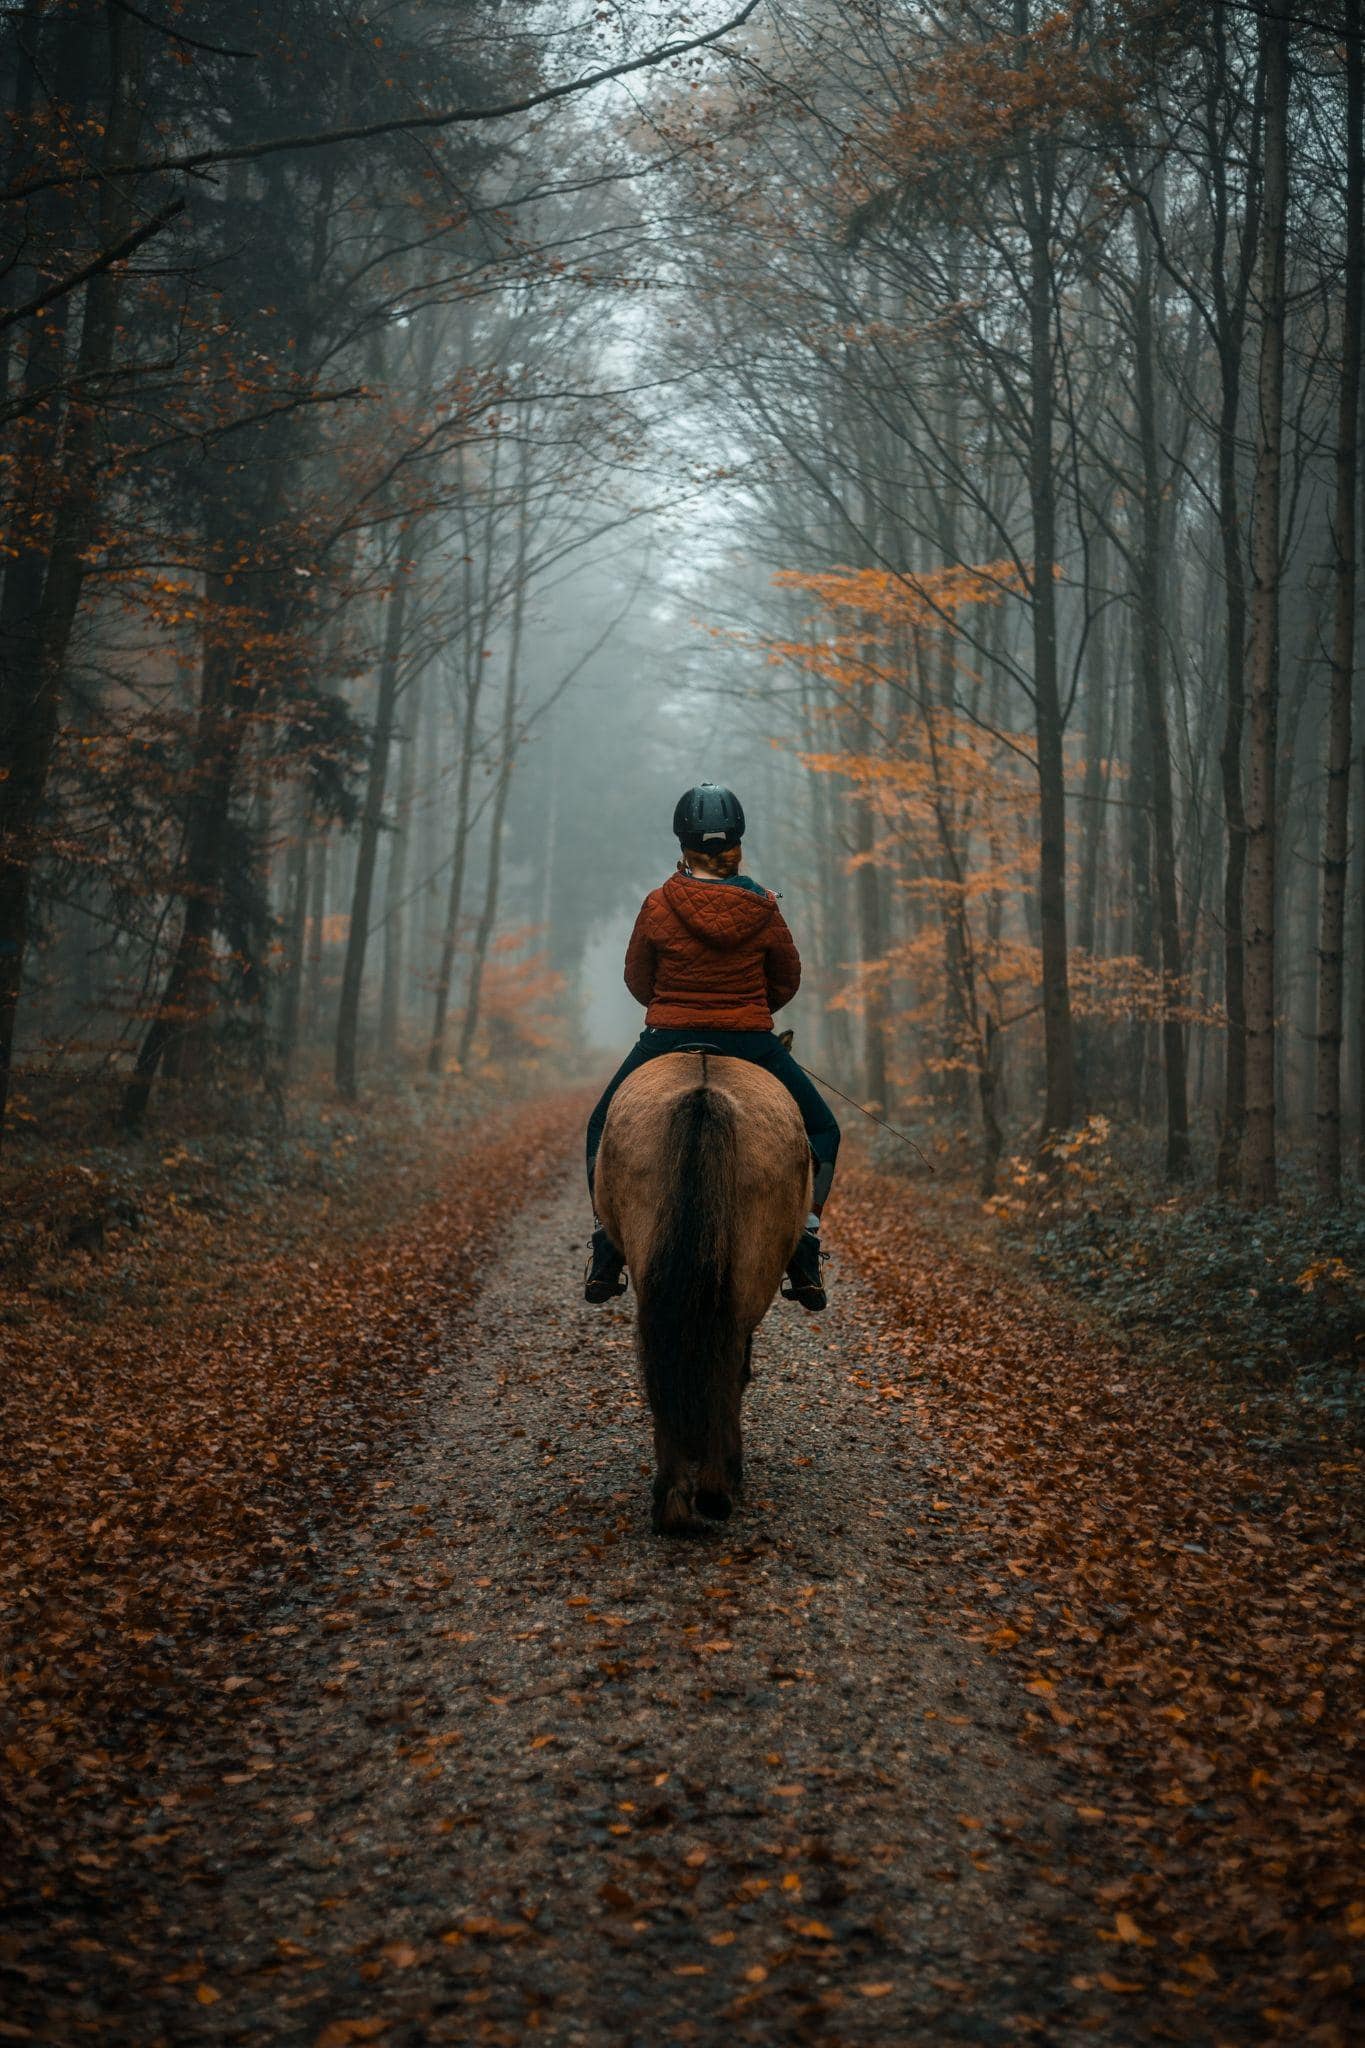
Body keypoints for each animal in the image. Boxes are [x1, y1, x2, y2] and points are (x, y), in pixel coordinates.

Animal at [593, 1056, 810, 1540]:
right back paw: (716, 1489)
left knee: (664, 1360)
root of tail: (704, 1096)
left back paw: (673, 1504)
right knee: (727, 1366)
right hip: (749, 1282)